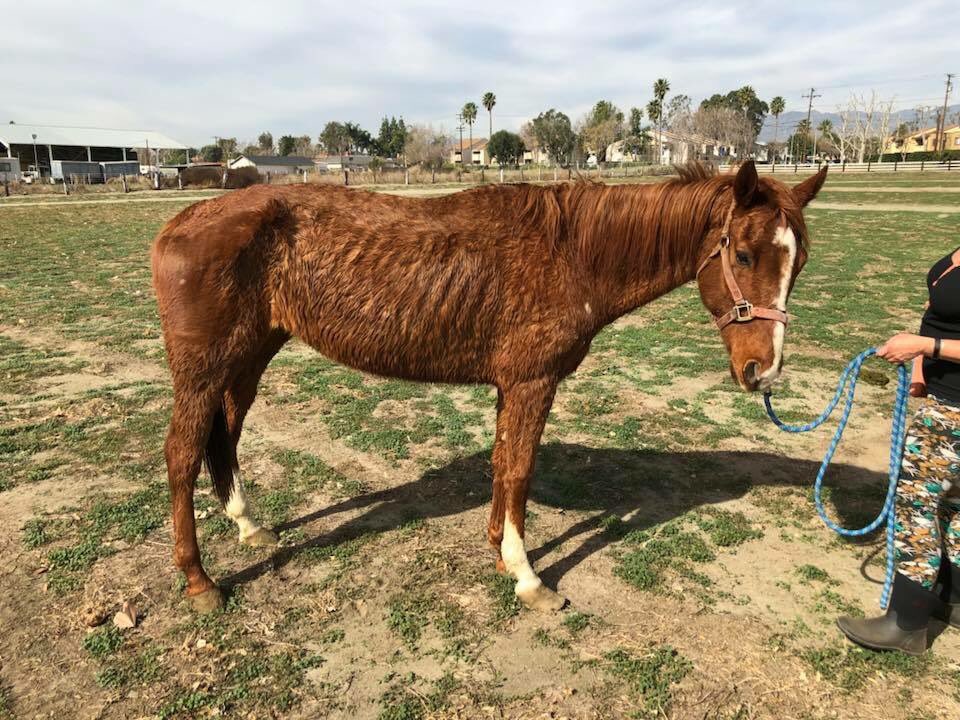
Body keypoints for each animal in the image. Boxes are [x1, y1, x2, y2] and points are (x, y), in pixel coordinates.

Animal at [151, 160, 828, 612]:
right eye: (743, 255)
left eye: (799, 261)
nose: (763, 371)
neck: (572, 252)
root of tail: (183, 219)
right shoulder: (532, 382)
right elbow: (520, 469)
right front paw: (527, 576)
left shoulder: (512, 386)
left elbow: (503, 464)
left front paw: (498, 548)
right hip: (204, 367)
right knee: (182, 455)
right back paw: (199, 581)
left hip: (249, 356)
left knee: (225, 437)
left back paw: (248, 525)